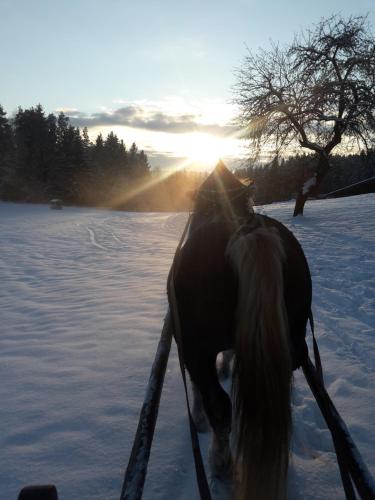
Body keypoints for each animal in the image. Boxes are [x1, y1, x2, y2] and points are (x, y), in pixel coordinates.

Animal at [172, 162, 312, 498]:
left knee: (221, 408)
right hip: (290, 343)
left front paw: (198, 420)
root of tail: (250, 233)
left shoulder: (191, 348)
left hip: (196, 349)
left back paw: (219, 466)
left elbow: (199, 388)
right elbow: (232, 353)